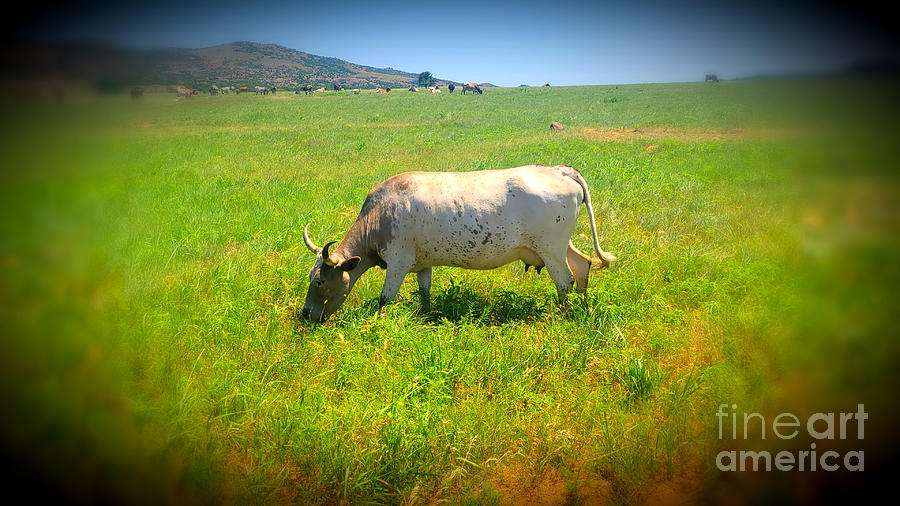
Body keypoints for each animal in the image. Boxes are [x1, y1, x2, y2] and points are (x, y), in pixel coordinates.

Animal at [302, 163, 620, 320]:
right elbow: (425, 293)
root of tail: (560, 169)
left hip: (551, 250)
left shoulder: (398, 263)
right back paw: (584, 308)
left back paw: (561, 315)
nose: (305, 314)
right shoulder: (422, 265)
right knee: (583, 265)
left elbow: (385, 298)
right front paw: (425, 317)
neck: (378, 217)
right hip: (559, 246)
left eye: (319, 281)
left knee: (564, 282)